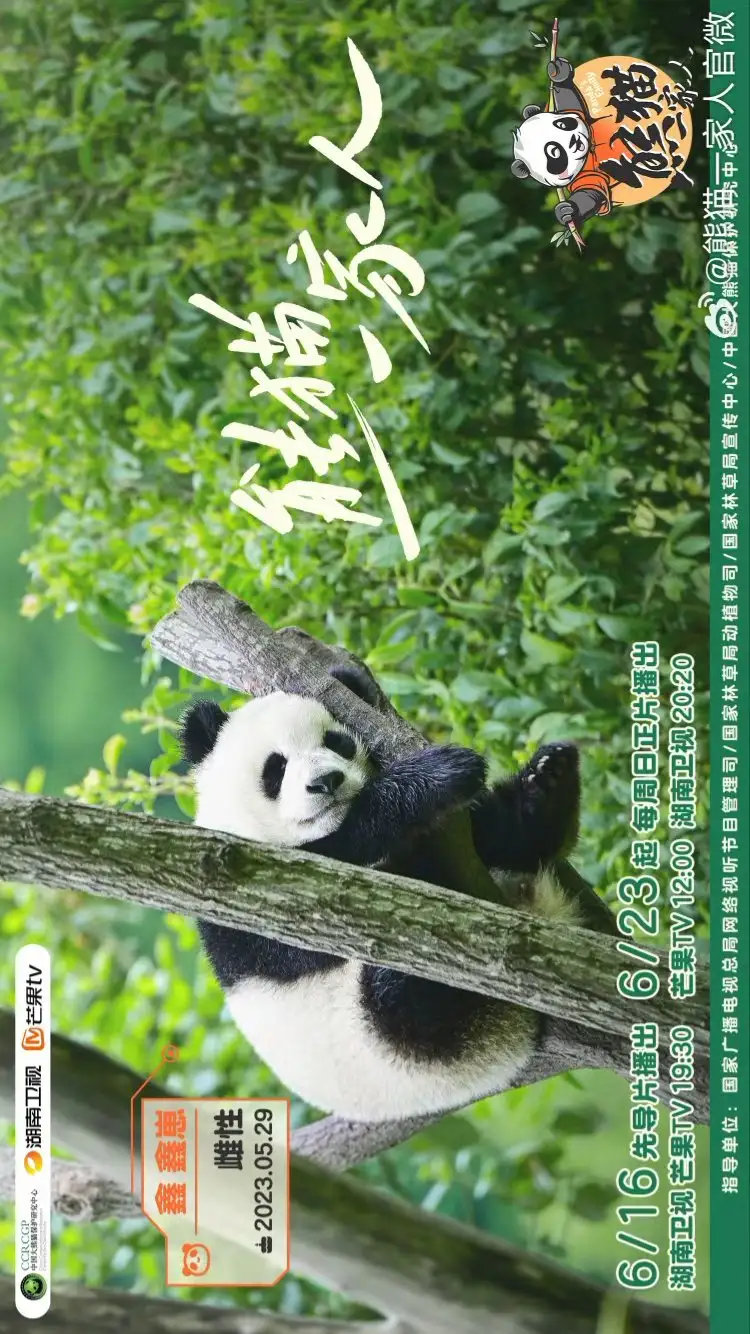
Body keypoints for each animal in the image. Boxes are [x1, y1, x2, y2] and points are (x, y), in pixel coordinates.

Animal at [180, 673, 586, 1122]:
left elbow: (497, 835)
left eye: (337, 741)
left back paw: (548, 789)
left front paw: (543, 782)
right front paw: (434, 777)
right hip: (394, 1040)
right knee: (402, 991)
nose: (326, 782)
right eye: (276, 768)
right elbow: (336, 872)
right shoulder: (242, 890)